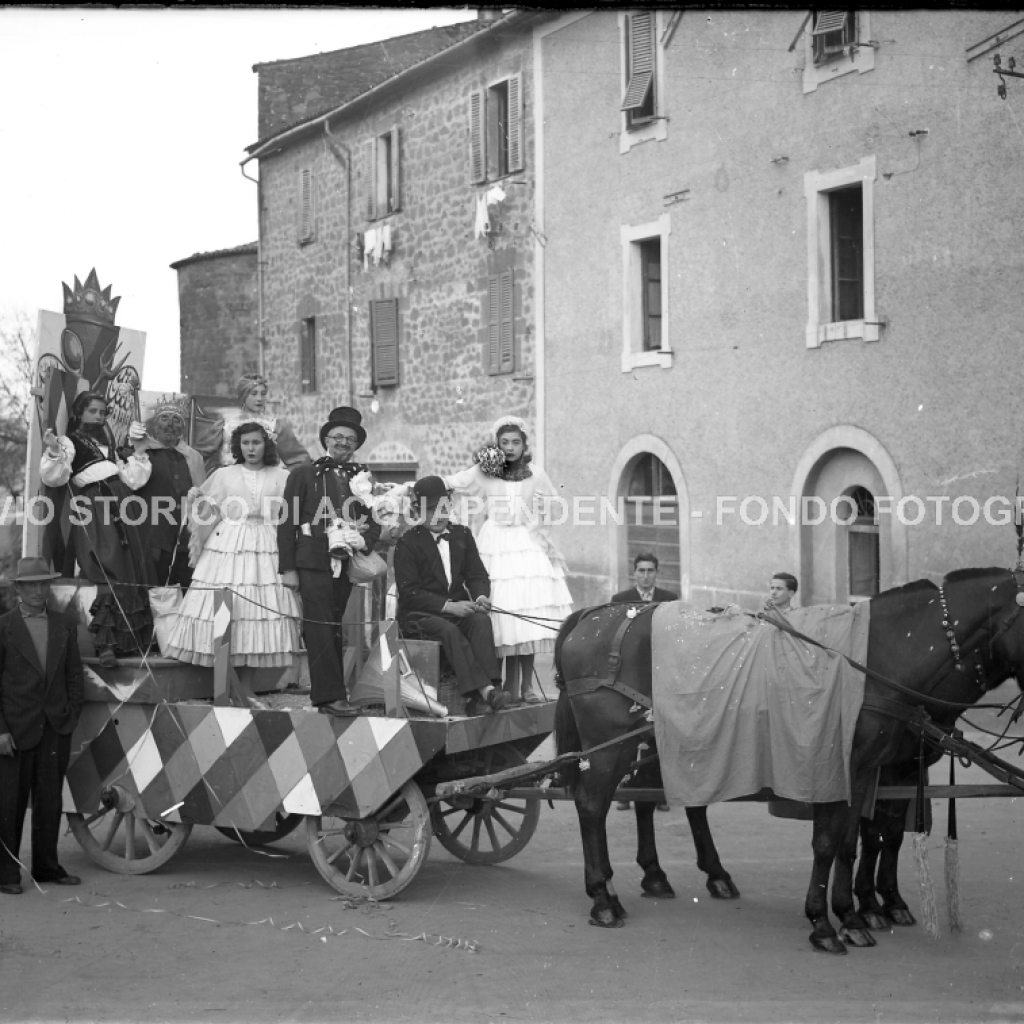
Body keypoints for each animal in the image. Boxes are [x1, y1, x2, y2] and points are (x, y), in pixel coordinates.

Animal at [561, 569, 1024, 950]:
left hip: (665, 737)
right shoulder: (844, 766)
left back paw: (664, 877)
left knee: (653, 798)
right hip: (611, 745)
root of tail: (595, 617)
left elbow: (866, 838)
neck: (873, 656)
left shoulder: (880, 768)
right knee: (592, 805)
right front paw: (828, 920)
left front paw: (859, 911)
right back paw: (603, 896)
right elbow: (833, 842)